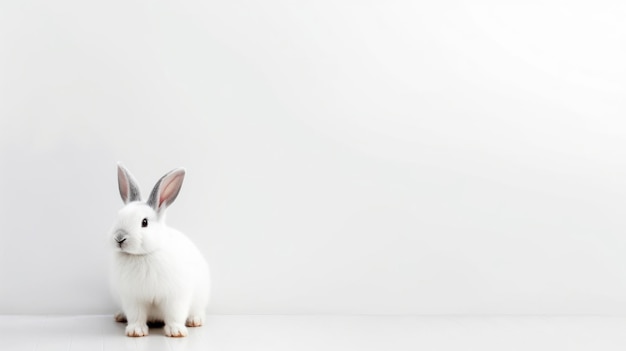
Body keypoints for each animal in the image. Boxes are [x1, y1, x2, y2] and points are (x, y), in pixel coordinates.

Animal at [109, 165, 210, 338]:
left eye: (144, 222)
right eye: (118, 216)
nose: (119, 238)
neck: (144, 255)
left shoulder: (175, 296)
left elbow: (175, 314)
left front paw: (176, 332)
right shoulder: (133, 298)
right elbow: (136, 315)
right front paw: (136, 331)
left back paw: (194, 321)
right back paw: (120, 316)